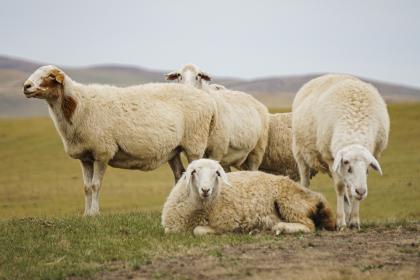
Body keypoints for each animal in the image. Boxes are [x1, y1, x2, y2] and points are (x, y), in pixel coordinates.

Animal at [23, 65, 218, 217]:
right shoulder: (85, 157)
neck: (78, 106)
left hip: (194, 144)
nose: (26, 86)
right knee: (179, 175)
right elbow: (86, 187)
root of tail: (208, 100)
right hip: (173, 150)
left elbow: (95, 185)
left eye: (49, 76)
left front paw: (94, 213)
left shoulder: (102, 151)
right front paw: (86, 214)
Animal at [161, 159, 334, 235]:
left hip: (289, 202)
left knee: (309, 225)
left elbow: (198, 230)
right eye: (194, 172)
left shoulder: (227, 222)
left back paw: (281, 227)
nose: (205, 189)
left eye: (216, 173)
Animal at [290, 74, 388, 230]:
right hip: (300, 154)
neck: (354, 128)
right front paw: (341, 222)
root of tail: (327, 74)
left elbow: (352, 191)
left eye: (367, 168)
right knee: (305, 181)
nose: (361, 192)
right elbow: (340, 187)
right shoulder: (331, 158)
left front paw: (354, 220)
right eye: (348, 165)